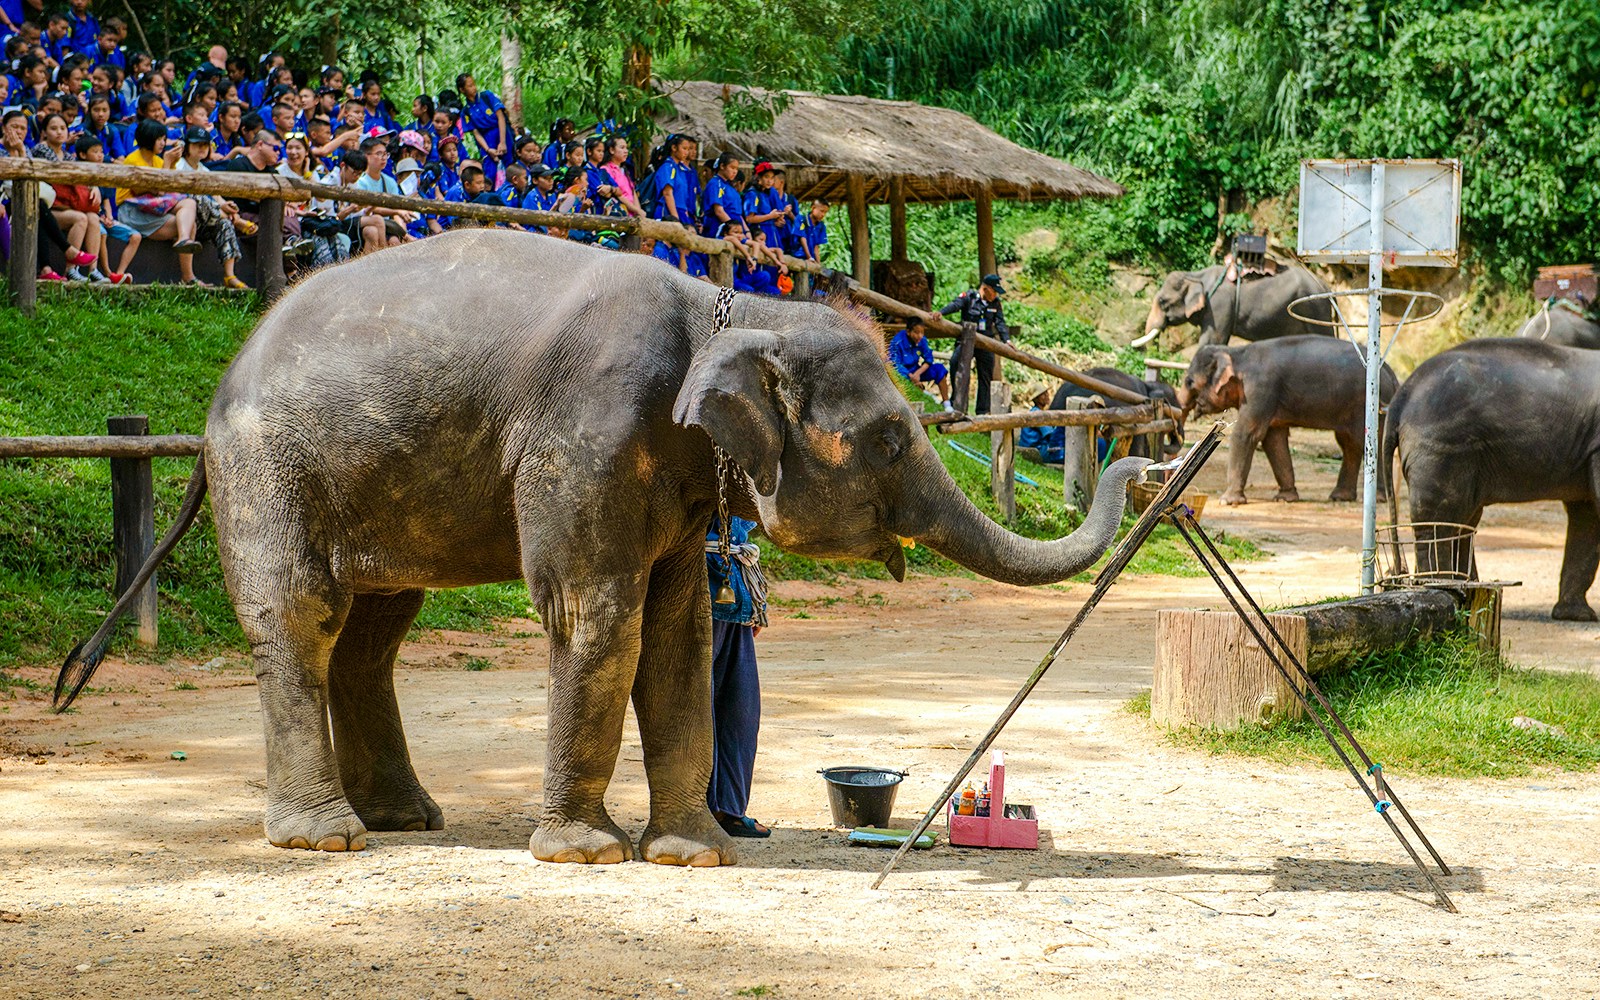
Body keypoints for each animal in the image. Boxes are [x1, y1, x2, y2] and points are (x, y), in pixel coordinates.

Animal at [57, 231, 1150, 866]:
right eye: (887, 438)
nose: (1146, 459)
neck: (727, 307)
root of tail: (219, 383)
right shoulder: (588, 433)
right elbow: (599, 613)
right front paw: (585, 854)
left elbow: (676, 629)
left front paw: (694, 854)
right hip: (272, 466)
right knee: (303, 617)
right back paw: (328, 839)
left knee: (375, 631)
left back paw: (408, 820)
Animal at [1131, 264, 1334, 348]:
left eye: (1162, 301)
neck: (1196, 275)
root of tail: (1325, 285)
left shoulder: (1218, 306)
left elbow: (1212, 341)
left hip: (1317, 311)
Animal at [1179, 335, 1397, 506]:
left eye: (1189, 382)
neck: (1237, 353)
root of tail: (1389, 370)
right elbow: (1273, 439)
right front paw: (1285, 498)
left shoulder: (1260, 389)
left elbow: (1247, 433)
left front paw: (1228, 501)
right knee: (1349, 443)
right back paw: (1340, 497)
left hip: (1371, 405)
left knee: (1367, 442)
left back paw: (1378, 499)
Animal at [1384, 338, 1600, 621]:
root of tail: (1403, 393)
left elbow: (1585, 515)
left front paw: (1576, 616)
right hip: (1439, 448)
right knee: (1440, 517)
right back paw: (1443, 587)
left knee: (1462, 517)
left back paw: (1467, 586)